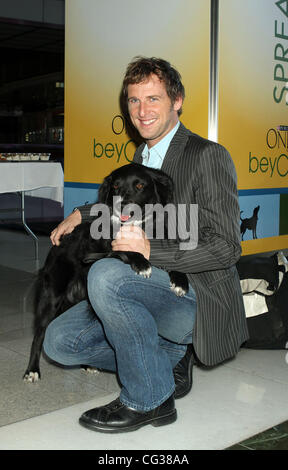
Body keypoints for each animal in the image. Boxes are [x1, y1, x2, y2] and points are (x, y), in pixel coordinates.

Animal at [24, 164, 189, 382]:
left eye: (139, 185)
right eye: (116, 186)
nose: (122, 205)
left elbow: (175, 259)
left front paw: (181, 282)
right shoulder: (105, 250)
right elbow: (125, 249)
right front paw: (142, 263)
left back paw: (88, 364)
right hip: (51, 296)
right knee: (39, 335)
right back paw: (32, 370)